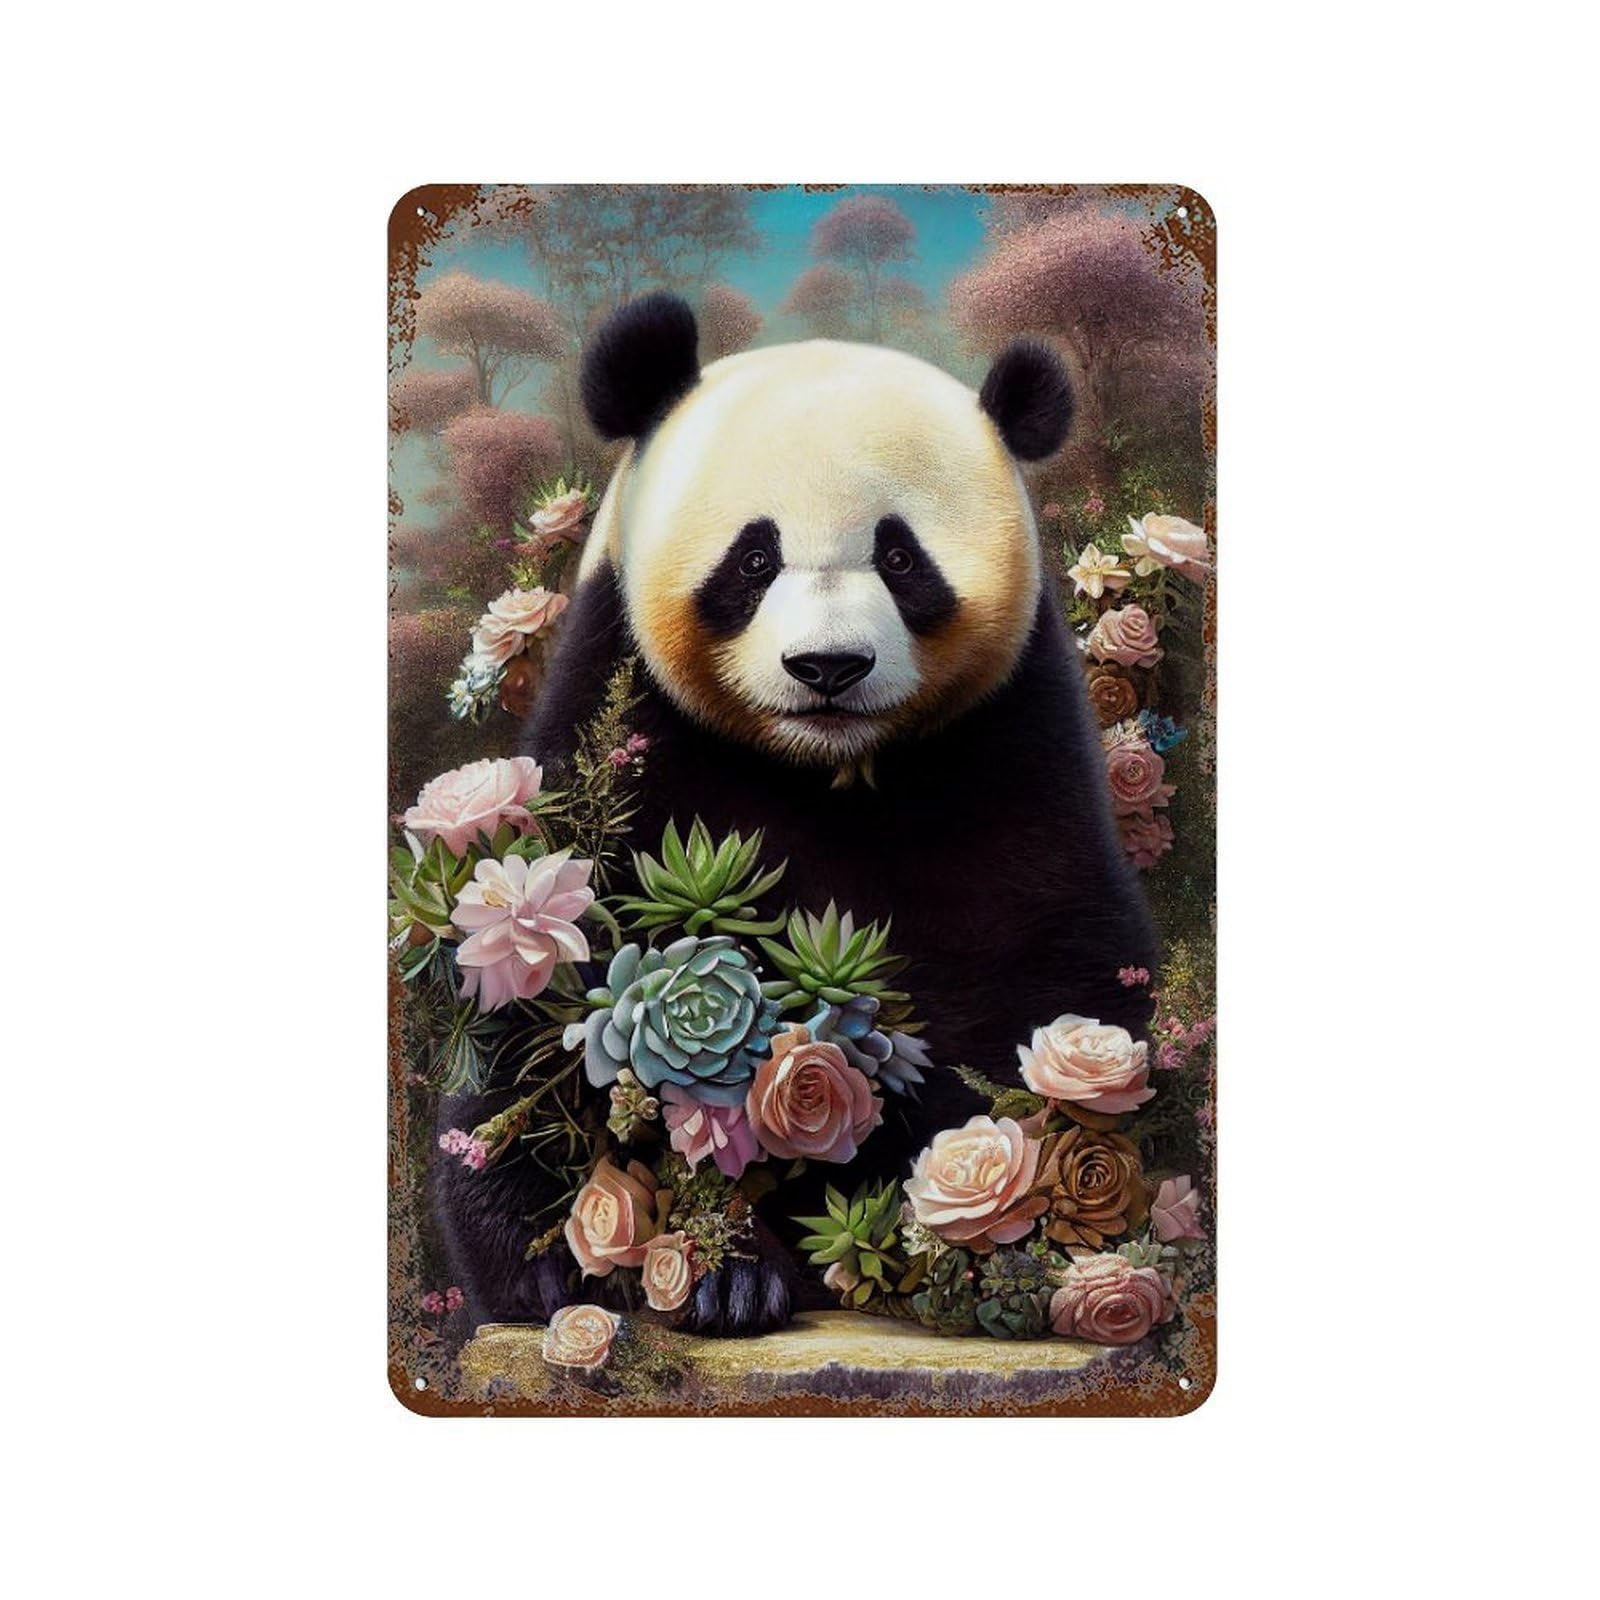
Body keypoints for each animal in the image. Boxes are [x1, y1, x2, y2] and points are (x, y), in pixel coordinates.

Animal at [437, 293, 1157, 1335]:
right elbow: (549, 985)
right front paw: (617, 1262)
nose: (828, 667)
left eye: (900, 558)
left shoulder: (1011, 734)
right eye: (753, 558)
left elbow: (1048, 950)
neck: (827, 768)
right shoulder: (626, 720)